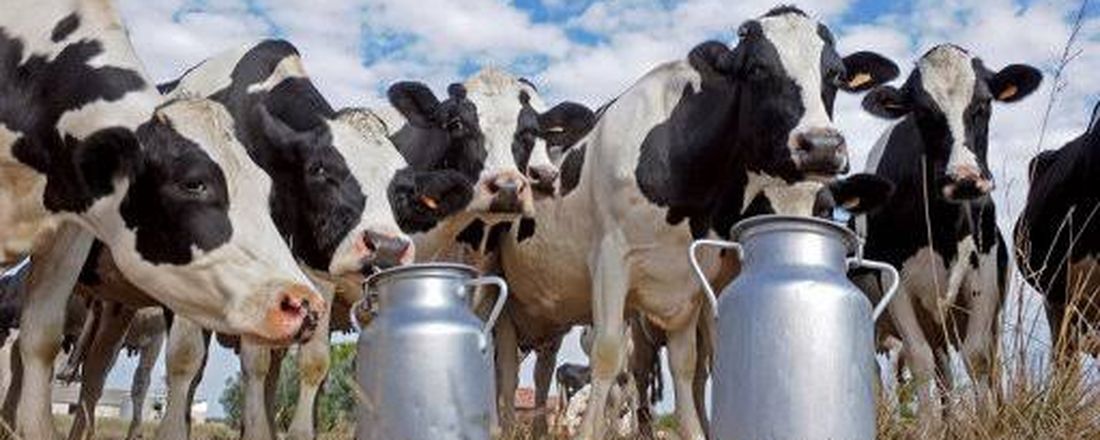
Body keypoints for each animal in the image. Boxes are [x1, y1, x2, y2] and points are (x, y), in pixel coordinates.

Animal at [503, 6, 897, 435]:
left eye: (836, 74)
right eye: (757, 68)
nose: (822, 145)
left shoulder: (690, 280)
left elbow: (689, 364)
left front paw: (696, 430)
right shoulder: (611, 260)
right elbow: (607, 355)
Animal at [858, 44, 1038, 422]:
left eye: (984, 103)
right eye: (922, 111)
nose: (965, 178)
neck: (944, 229)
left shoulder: (983, 272)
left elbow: (977, 357)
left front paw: (985, 424)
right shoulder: (895, 282)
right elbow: (920, 360)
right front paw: (929, 427)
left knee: (981, 366)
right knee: (938, 370)